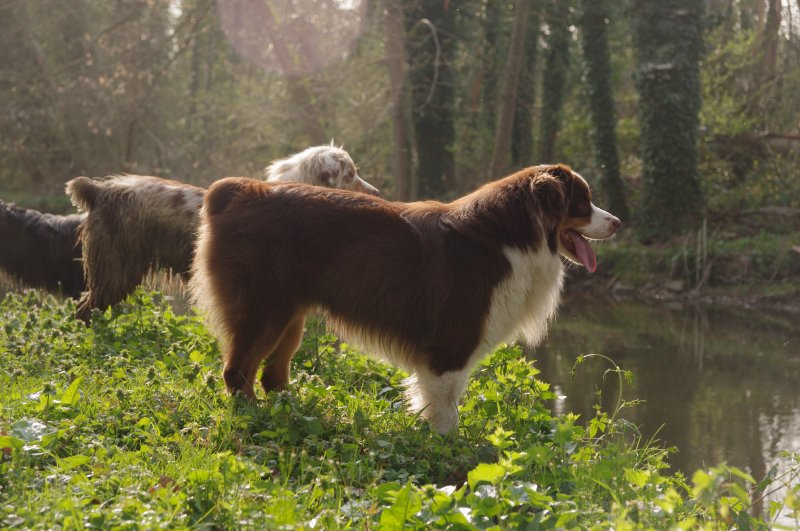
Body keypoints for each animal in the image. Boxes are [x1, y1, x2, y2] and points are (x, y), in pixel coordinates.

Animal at [191, 164, 620, 434]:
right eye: (582, 202)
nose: (617, 222)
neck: (509, 238)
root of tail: (235, 191)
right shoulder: (451, 346)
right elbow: (446, 412)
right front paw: (448, 453)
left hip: (289, 316)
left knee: (272, 375)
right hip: (264, 310)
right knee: (238, 372)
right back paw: (254, 418)